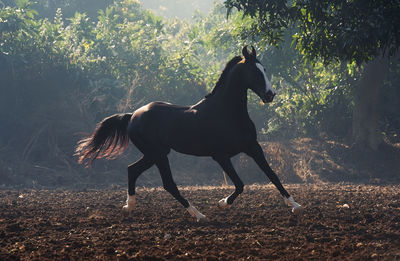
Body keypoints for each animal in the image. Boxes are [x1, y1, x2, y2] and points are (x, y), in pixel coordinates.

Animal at [75, 46, 302, 219]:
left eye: (264, 69)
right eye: (255, 72)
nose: (270, 95)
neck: (226, 112)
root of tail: (132, 116)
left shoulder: (253, 148)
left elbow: (273, 175)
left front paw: (295, 205)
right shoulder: (221, 156)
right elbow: (240, 184)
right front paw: (222, 203)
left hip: (154, 154)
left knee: (133, 170)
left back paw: (129, 206)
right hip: (158, 154)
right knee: (168, 183)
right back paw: (198, 214)